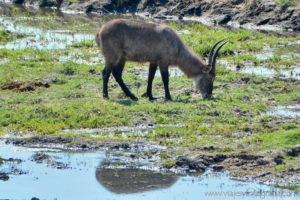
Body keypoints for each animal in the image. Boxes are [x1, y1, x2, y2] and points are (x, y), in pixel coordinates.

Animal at [95, 18, 229, 100]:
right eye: (211, 77)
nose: (209, 95)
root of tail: (101, 30)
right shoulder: (163, 62)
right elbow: (165, 79)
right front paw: (168, 97)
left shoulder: (154, 61)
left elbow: (151, 77)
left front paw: (150, 95)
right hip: (112, 56)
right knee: (106, 72)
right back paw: (106, 95)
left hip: (122, 58)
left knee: (117, 74)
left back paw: (132, 96)